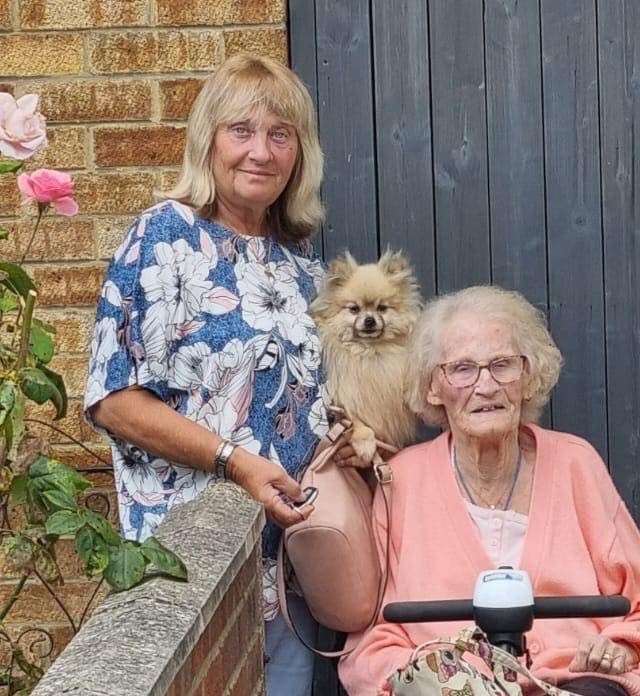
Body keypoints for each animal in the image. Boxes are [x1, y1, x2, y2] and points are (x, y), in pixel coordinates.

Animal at [312, 249, 422, 462]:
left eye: (382, 308)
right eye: (354, 309)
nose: (369, 320)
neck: (369, 351)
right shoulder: (345, 396)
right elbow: (358, 422)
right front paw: (365, 445)